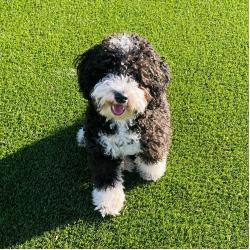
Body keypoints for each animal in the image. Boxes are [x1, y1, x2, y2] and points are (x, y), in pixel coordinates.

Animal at [75, 32, 171, 217]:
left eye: (136, 74)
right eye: (108, 70)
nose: (120, 96)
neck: (121, 121)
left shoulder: (155, 128)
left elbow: (152, 152)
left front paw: (151, 172)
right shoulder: (100, 146)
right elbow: (105, 177)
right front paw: (108, 202)